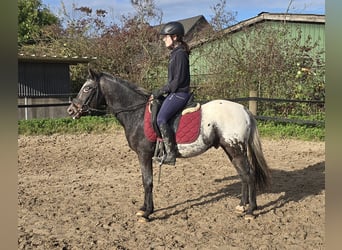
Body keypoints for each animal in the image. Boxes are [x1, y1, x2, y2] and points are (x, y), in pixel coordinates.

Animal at [66, 68, 270, 221]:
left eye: (87, 88)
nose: (71, 110)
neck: (136, 113)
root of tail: (244, 109)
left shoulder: (144, 154)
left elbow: (147, 182)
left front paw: (146, 213)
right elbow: (146, 181)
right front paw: (145, 209)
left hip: (235, 149)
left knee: (249, 174)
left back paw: (250, 211)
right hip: (231, 149)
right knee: (243, 175)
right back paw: (242, 206)